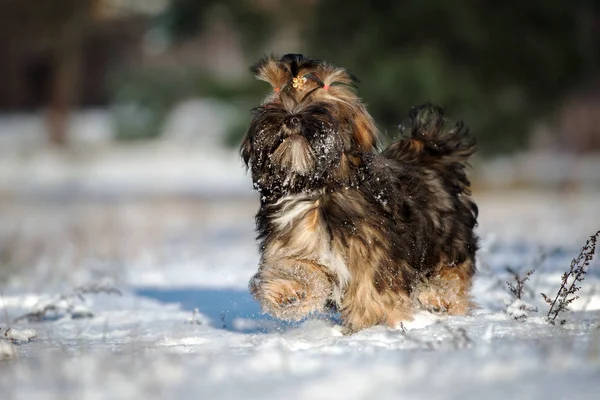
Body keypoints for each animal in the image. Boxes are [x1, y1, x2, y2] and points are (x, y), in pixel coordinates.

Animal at [240, 54, 478, 334]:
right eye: (276, 105)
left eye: (319, 107)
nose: (291, 118)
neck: (316, 188)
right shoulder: (295, 243)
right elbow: (295, 266)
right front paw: (289, 291)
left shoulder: (373, 256)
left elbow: (369, 289)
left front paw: (367, 325)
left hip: (447, 242)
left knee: (451, 275)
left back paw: (439, 298)